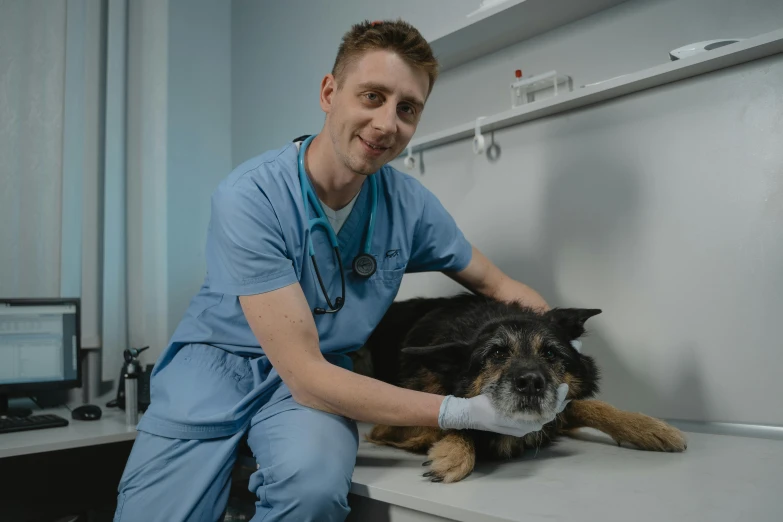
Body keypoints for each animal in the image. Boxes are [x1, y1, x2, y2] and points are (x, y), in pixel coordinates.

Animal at [352, 290, 688, 482]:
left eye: (550, 353)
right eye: (497, 353)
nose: (531, 383)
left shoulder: (556, 412)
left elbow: (589, 405)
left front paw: (649, 427)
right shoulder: (390, 424)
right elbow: (458, 422)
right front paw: (456, 452)